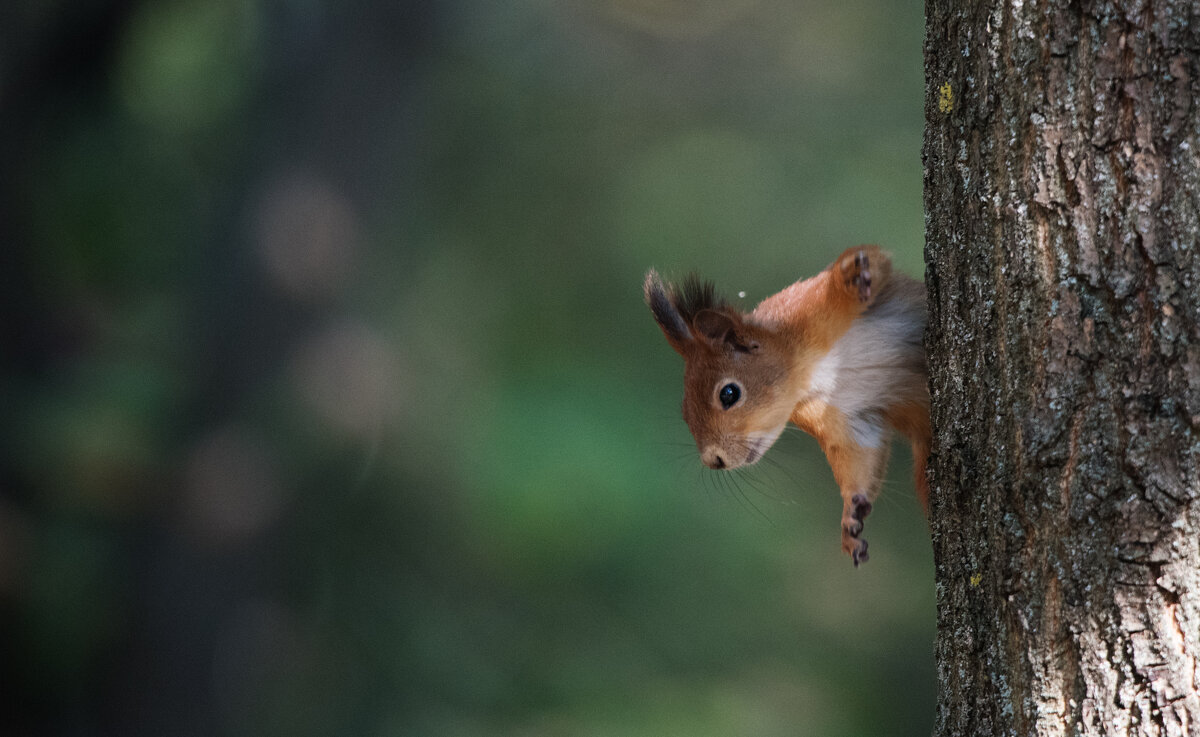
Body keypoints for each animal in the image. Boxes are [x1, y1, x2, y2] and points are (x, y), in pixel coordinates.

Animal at [643, 247, 931, 566]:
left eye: (729, 393)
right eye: (684, 413)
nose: (713, 460)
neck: (808, 370)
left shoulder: (808, 305)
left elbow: (871, 263)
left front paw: (854, 274)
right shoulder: (838, 416)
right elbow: (858, 454)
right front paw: (851, 517)